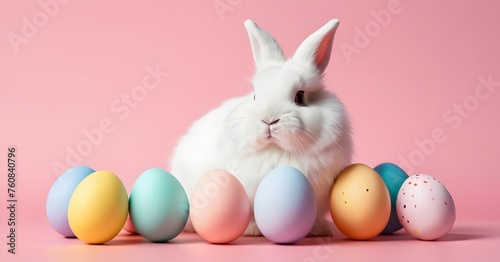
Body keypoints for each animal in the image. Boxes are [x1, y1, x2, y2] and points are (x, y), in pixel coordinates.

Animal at [171, 18, 352, 235]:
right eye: (255, 96)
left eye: (299, 97)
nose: (269, 120)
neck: (277, 150)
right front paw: (253, 228)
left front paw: (318, 228)